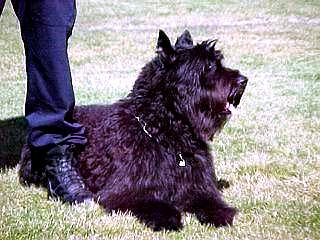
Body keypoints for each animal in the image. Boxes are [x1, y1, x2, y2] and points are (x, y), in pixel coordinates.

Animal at [19, 29, 248, 231]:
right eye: (208, 66)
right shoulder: (126, 191)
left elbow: (209, 200)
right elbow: (152, 202)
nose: (243, 80)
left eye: (218, 62)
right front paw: (167, 218)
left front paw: (219, 214)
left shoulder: (198, 185)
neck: (164, 131)